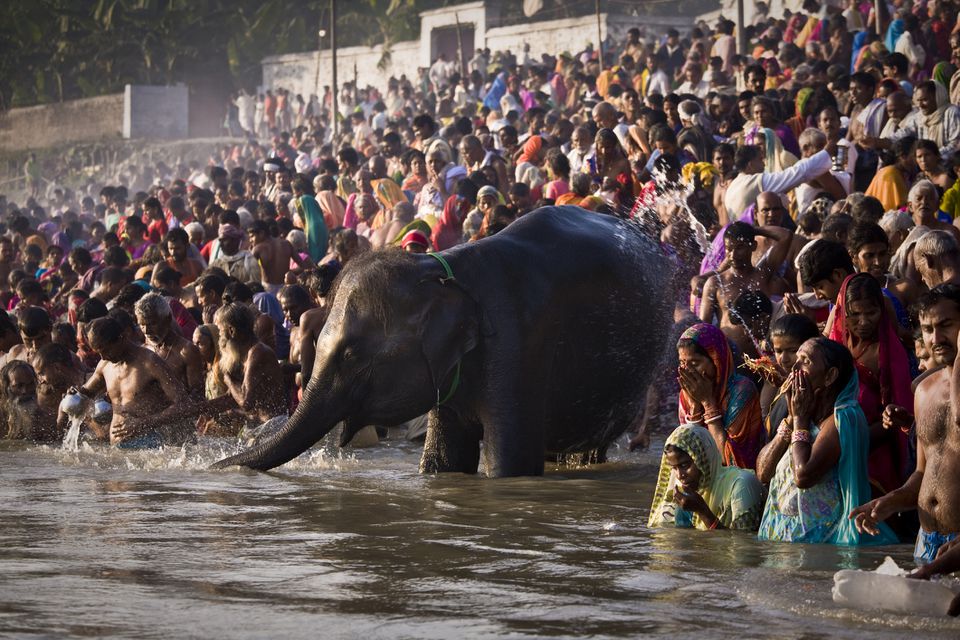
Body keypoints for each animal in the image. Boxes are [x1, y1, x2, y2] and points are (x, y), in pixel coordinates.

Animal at [210, 205, 676, 476]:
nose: (216, 467)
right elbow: (444, 463)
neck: (441, 269)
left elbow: (510, 465)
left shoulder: (518, 344)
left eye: (352, 354)